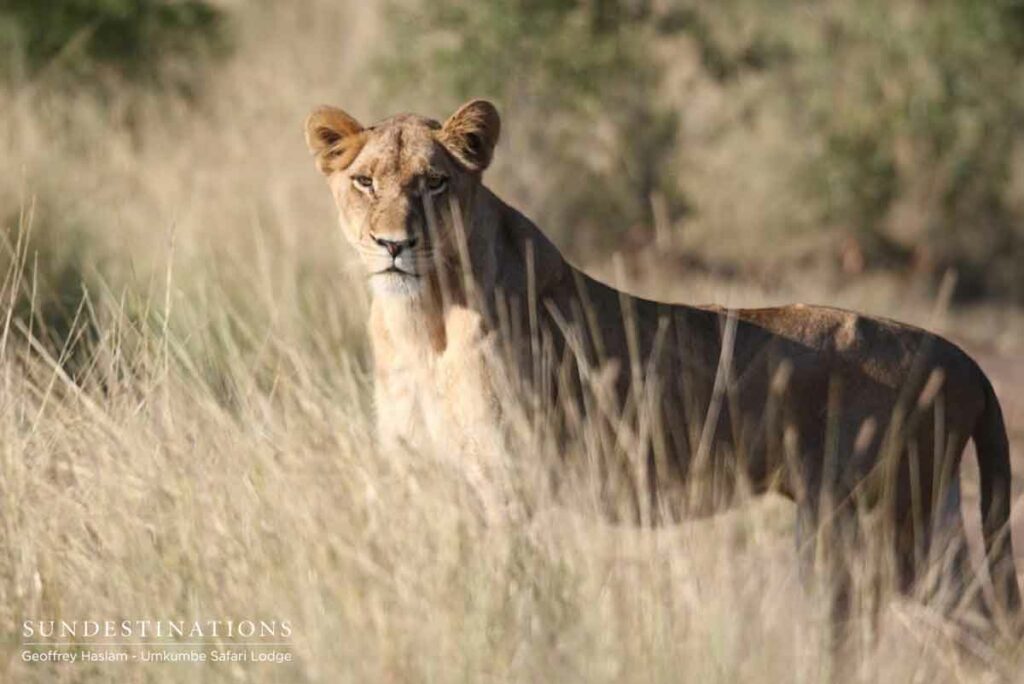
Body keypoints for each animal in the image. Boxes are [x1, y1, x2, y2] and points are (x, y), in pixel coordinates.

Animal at [304, 99, 1022, 629]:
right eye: (364, 181)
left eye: (435, 183)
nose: (394, 244)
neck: (419, 324)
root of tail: (960, 356)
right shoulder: (419, 476)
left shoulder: (510, 483)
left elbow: (505, 585)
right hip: (919, 517)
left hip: (873, 525)